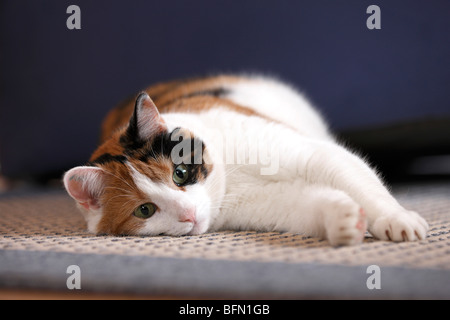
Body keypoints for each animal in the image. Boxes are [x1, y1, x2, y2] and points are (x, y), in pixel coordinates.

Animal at [63, 74, 428, 245]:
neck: (231, 176)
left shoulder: (314, 154)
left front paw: (397, 220)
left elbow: (360, 182)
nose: (188, 214)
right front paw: (344, 220)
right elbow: (308, 203)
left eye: (179, 173)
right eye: (145, 210)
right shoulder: (271, 203)